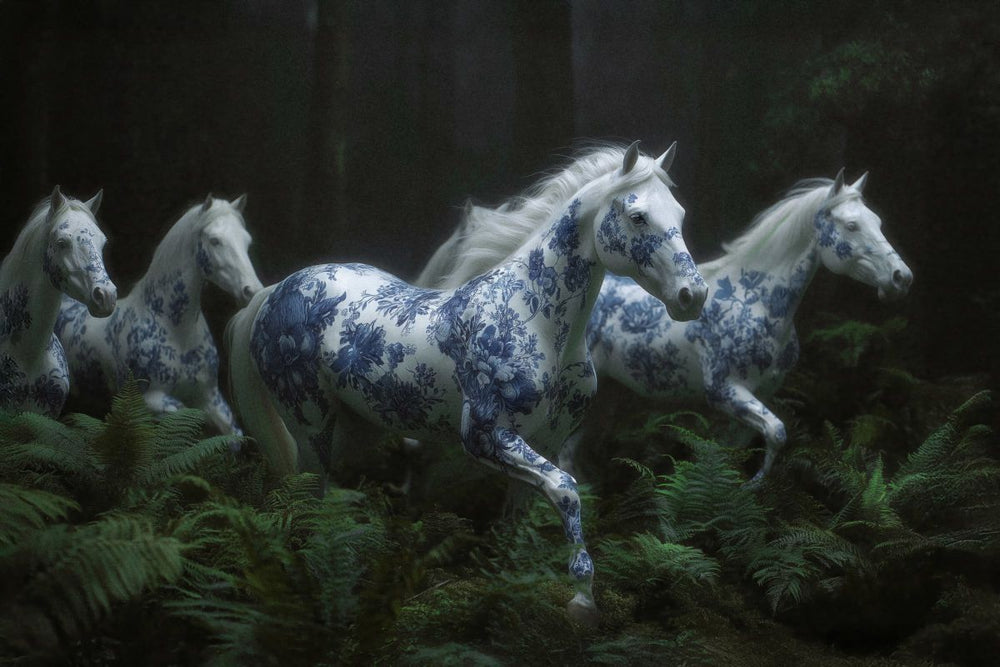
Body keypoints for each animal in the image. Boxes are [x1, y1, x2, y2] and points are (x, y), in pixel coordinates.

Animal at [56, 194, 262, 434]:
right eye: (215, 240)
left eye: (247, 241)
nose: (251, 291)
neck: (176, 330)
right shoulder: (151, 400)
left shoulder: (211, 399)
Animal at [226, 142, 707, 623]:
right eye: (638, 216)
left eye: (681, 214)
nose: (693, 296)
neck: (533, 319)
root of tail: (274, 292)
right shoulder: (484, 437)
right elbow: (568, 491)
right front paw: (582, 600)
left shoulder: (544, 444)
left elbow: (521, 515)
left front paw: (508, 587)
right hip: (311, 422)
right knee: (307, 492)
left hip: (357, 428)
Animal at [578, 170, 913, 482]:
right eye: (852, 225)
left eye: (877, 222)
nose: (901, 277)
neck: (757, 303)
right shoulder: (725, 391)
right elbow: (776, 432)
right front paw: (752, 486)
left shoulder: (759, 393)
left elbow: (736, 447)